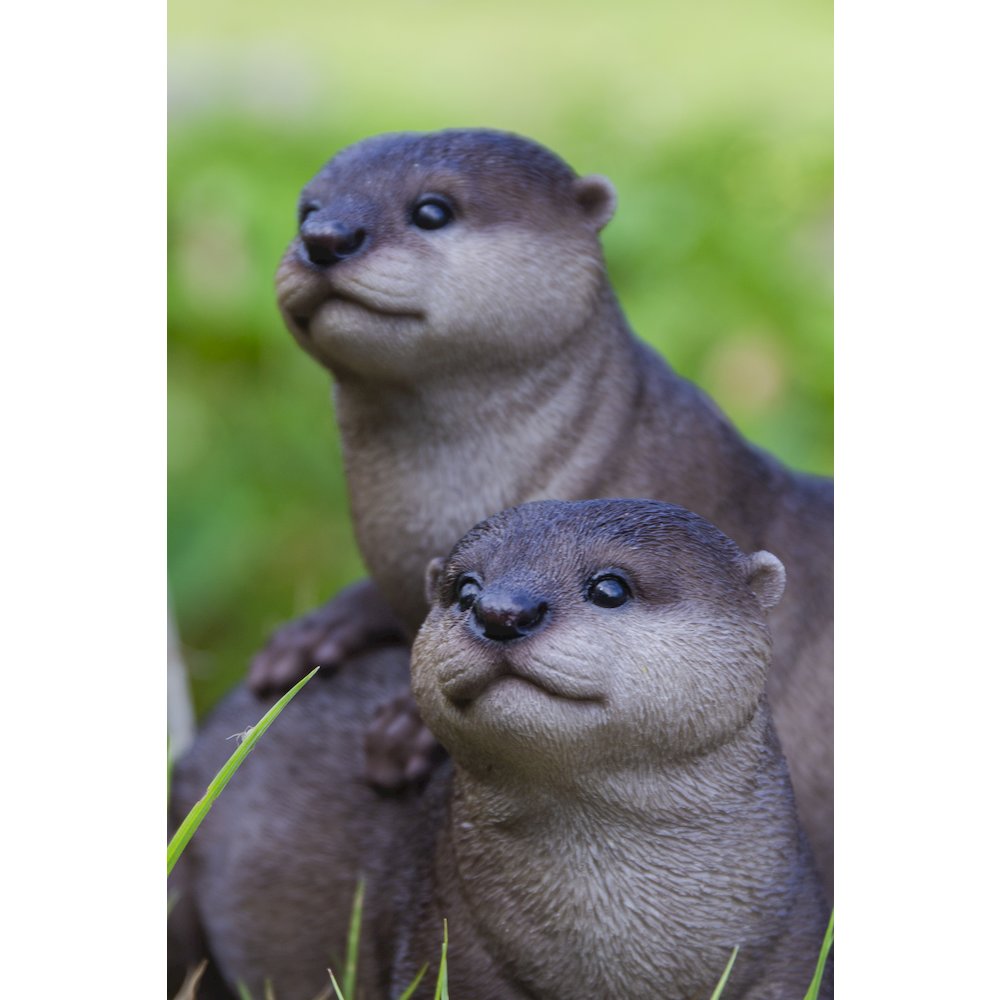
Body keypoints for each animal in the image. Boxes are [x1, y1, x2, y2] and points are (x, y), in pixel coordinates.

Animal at [170, 500, 831, 999]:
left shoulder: (792, 960)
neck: (622, 957)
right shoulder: (449, 956)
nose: (501, 613)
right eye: (466, 588)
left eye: (610, 586)